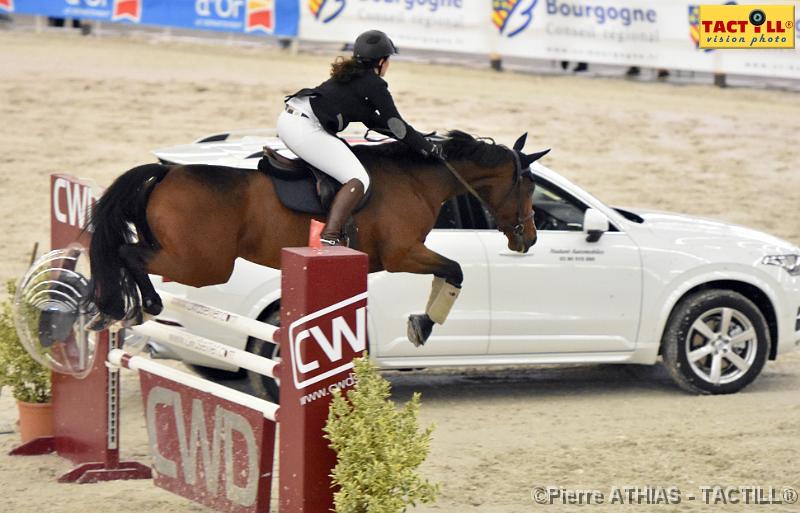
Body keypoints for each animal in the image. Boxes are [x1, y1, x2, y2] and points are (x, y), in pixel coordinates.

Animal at [89, 129, 552, 344]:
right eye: (528, 187)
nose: (528, 238)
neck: (418, 179)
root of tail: (166, 172)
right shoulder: (404, 254)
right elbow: (455, 270)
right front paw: (421, 326)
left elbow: (451, 272)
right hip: (203, 264)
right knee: (128, 253)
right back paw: (134, 307)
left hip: (195, 260)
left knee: (128, 251)